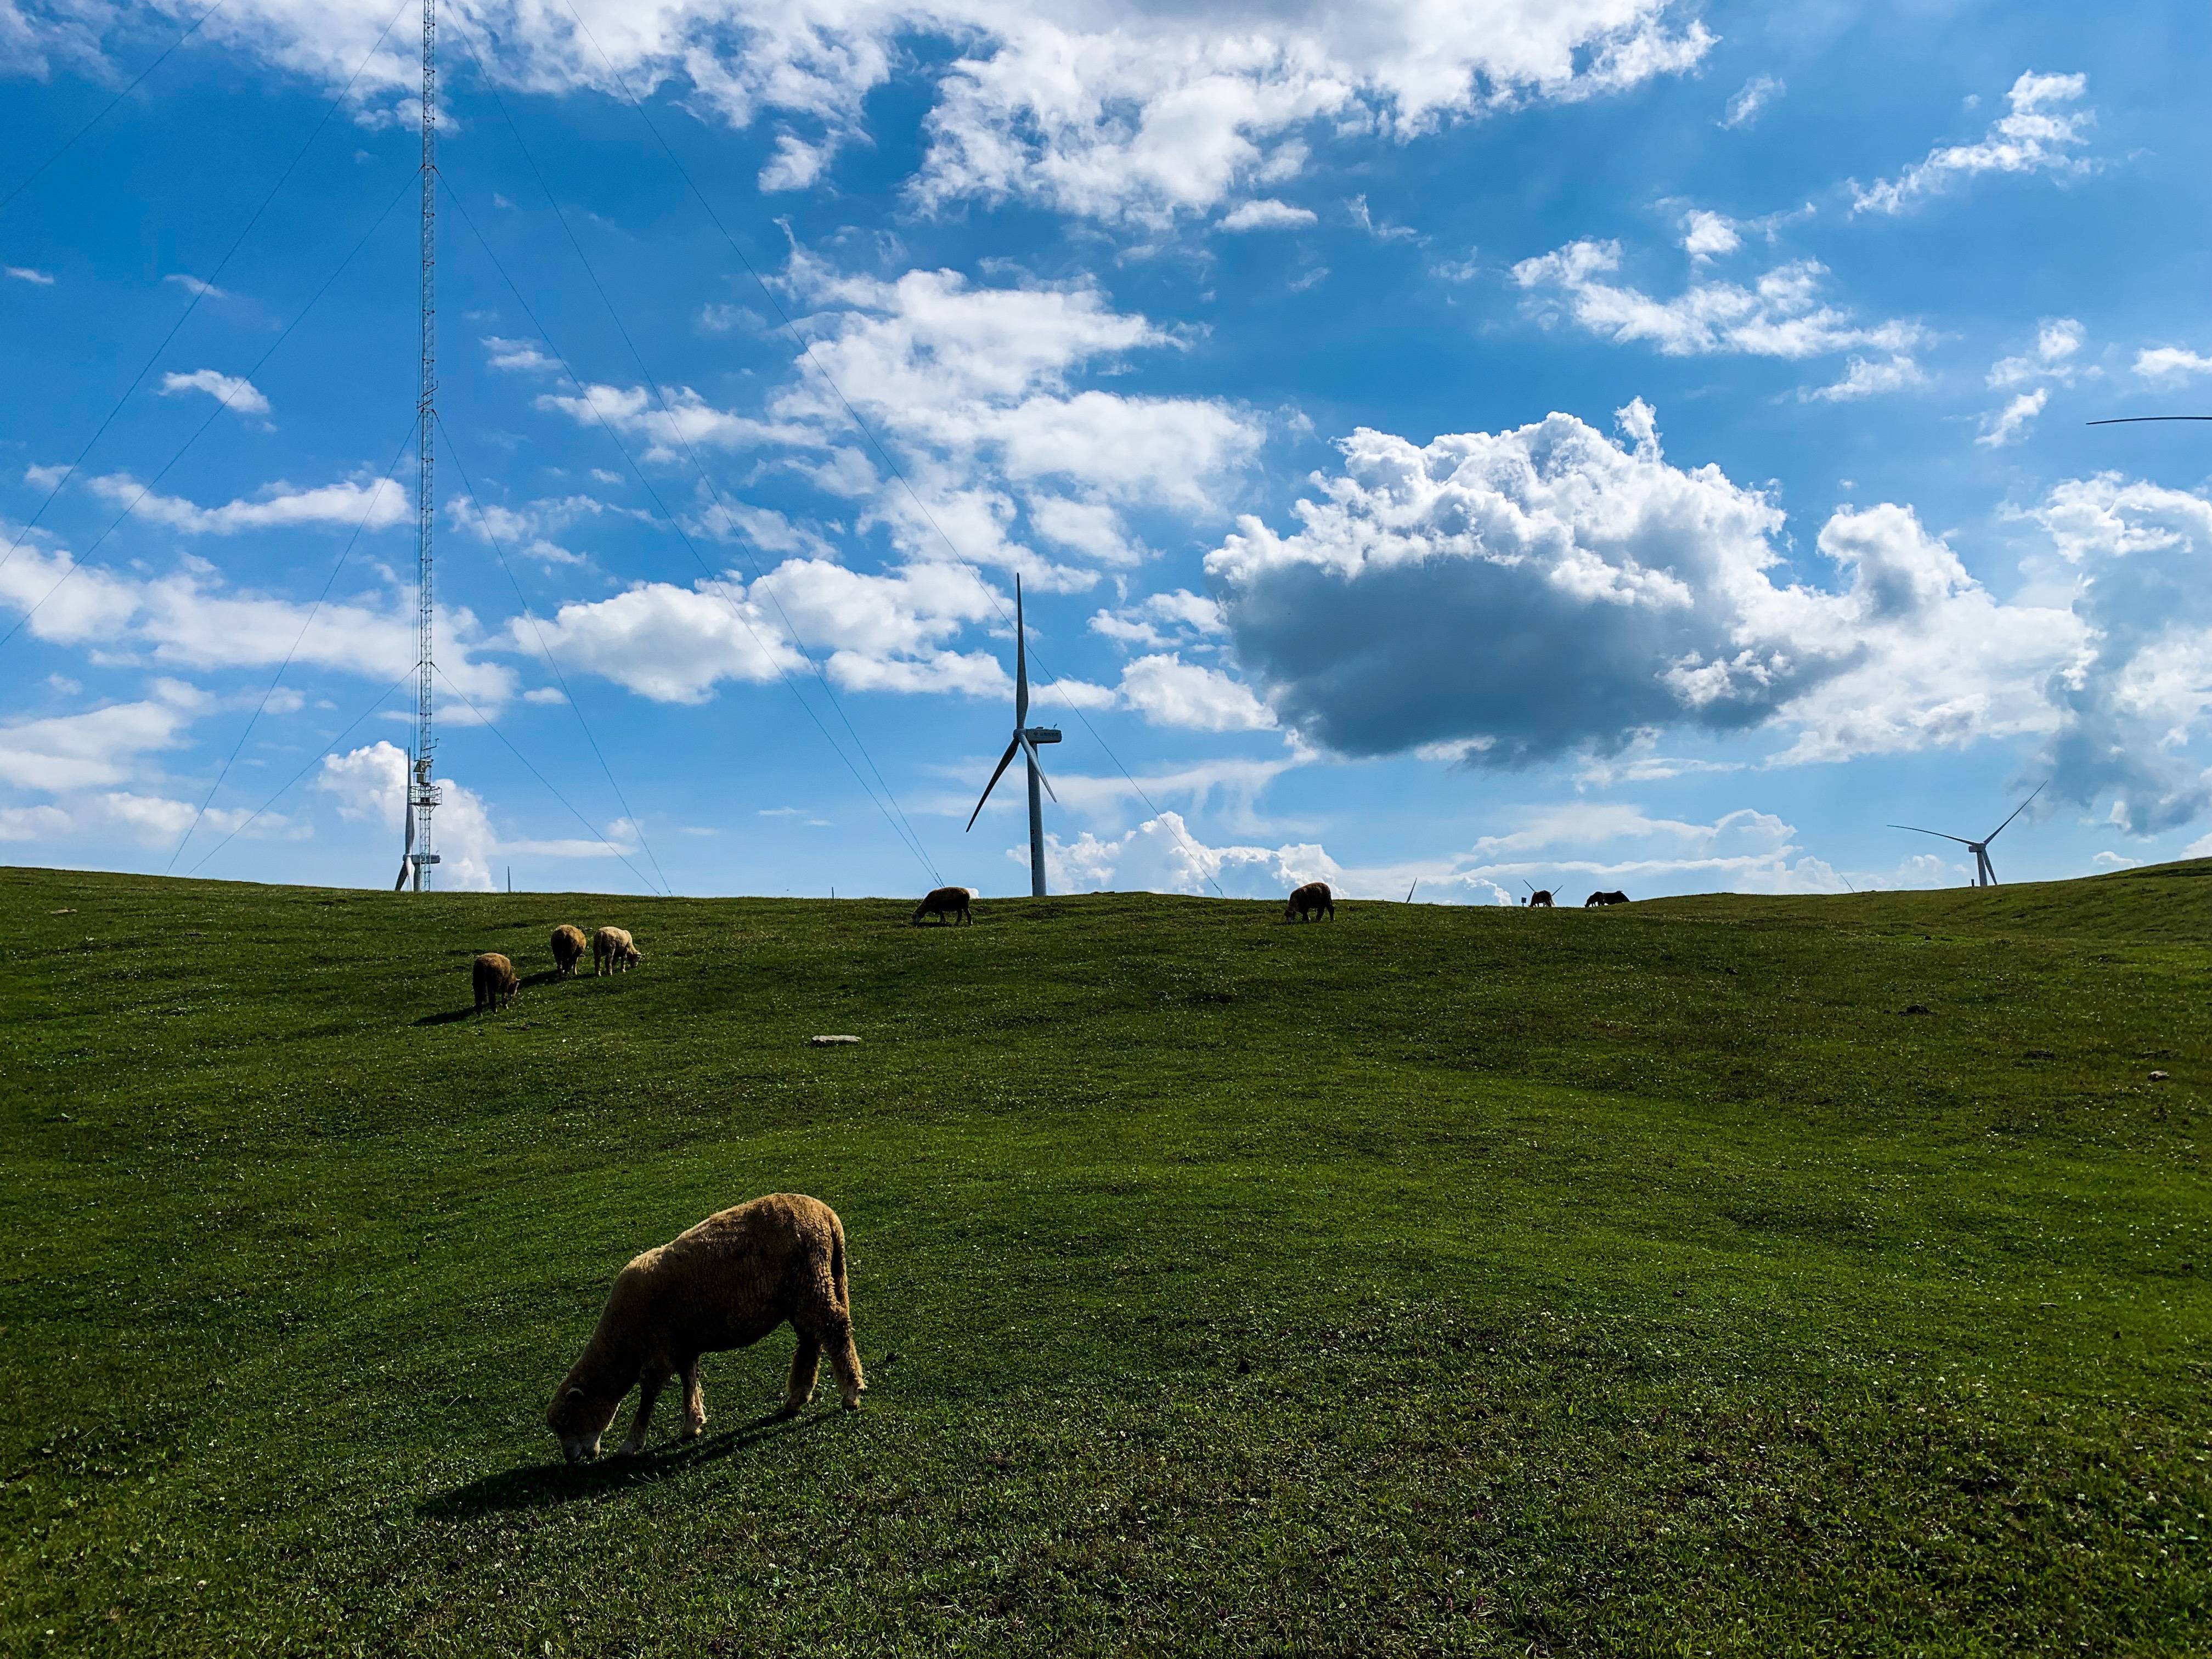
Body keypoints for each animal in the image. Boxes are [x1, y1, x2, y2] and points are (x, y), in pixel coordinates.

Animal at [544, 1194, 862, 1469]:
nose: (570, 1459)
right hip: (806, 1288)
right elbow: (689, 1379)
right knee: (812, 1339)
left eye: (567, 1420)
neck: (623, 1340)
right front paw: (693, 1423)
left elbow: (649, 1395)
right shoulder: (683, 1344)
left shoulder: (659, 1349)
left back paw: (851, 1392)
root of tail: (828, 1216)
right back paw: (798, 1397)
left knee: (835, 1329)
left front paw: (631, 1443)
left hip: (811, 1281)